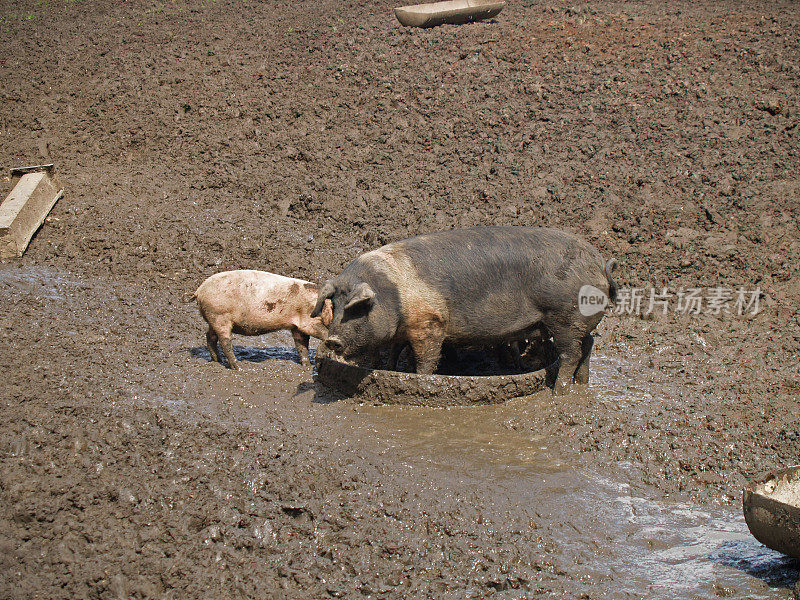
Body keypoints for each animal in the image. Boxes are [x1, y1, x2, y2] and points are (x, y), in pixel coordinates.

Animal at [312, 226, 620, 394]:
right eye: (333, 306)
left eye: (357, 308)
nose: (332, 340)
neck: (394, 292)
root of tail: (599, 263)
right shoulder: (404, 329)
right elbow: (394, 352)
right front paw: (388, 368)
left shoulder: (430, 322)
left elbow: (425, 360)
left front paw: (418, 379)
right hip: (577, 321)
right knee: (588, 345)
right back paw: (582, 384)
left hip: (564, 316)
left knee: (570, 354)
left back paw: (559, 392)